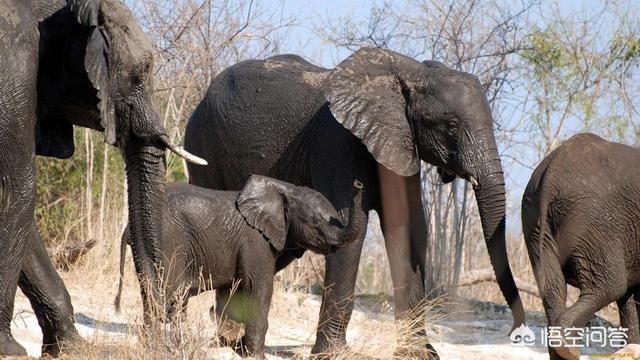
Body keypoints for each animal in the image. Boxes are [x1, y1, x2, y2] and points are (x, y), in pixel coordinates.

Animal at [0, 0, 204, 354]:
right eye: (141, 73)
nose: (154, 337)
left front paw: (70, 348)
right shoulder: (15, 63)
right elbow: (18, 188)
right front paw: (10, 350)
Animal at [115, 175, 364, 358]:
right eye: (317, 222)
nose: (358, 184)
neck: (286, 190)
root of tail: (128, 226)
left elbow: (233, 290)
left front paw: (231, 344)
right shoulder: (256, 241)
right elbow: (259, 287)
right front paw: (255, 356)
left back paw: (152, 345)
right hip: (169, 240)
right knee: (170, 296)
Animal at [182, 48, 524, 358]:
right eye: (451, 126)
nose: (517, 332)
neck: (409, 72)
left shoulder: (401, 144)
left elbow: (409, 229)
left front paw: (419, 354)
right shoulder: (338, 142)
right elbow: (349, 231)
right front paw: (332, 354)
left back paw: (227, 335)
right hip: (203, 145)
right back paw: (226, 336)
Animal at [524, 133, 640, 360]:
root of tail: (553, 169)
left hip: (534, 220)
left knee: (553, 290)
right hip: (594, 222)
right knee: (610, 286)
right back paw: (570, 347)